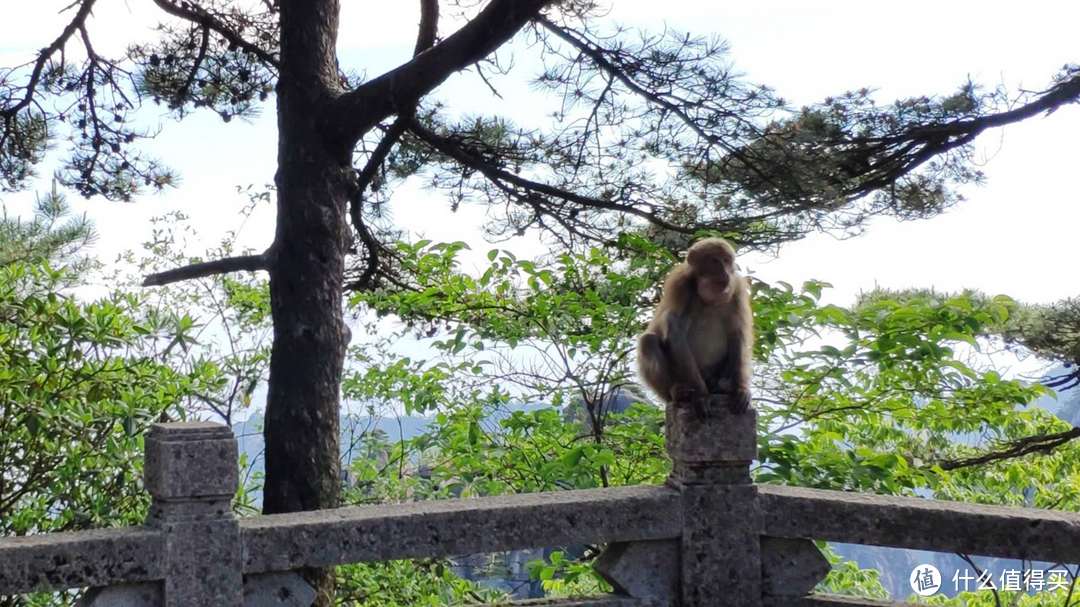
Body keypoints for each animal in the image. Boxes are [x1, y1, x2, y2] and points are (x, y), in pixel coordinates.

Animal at [630, 236, 751, 414]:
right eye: (715, 261)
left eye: (726, 260)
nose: (725, 273)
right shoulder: (679, 285)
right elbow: (675, 330)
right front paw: (701, 396)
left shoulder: (737, 288)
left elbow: (737, 332)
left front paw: (740, 389)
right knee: (648, 341)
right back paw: (676, 392)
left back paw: (723, 387)